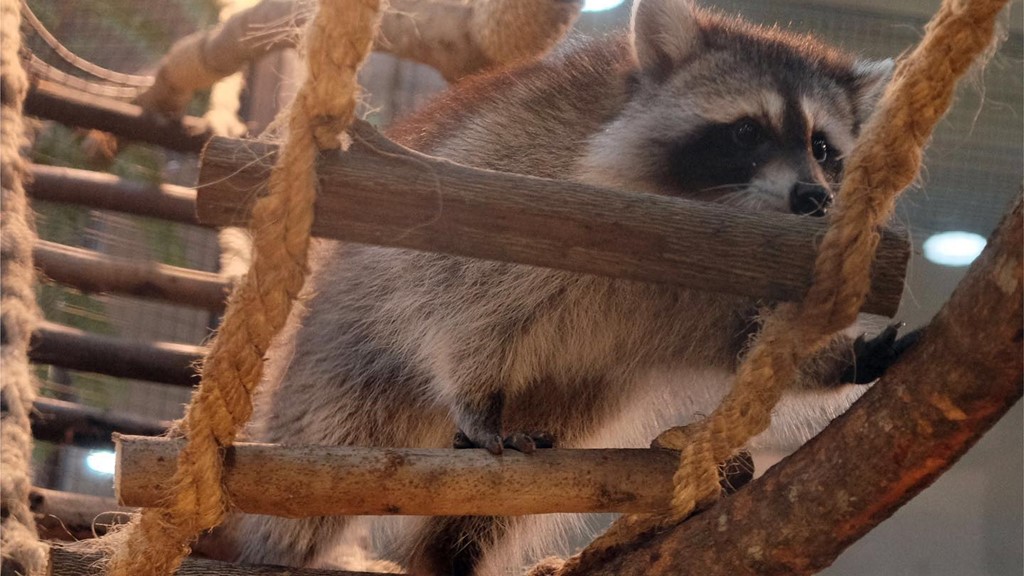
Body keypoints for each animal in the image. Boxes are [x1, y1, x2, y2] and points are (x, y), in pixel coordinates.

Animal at [205, 0, 897, 569]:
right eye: (748, 130)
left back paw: (450, 557)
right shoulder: (529, 193)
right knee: (324, 458)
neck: (715, 216)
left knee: (486, 516)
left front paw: (833, 358)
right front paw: (476, 394)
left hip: (573, 399)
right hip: (344, 349)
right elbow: (462, 306)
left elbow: (743, 341)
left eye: (823, 147)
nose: (814, 197)